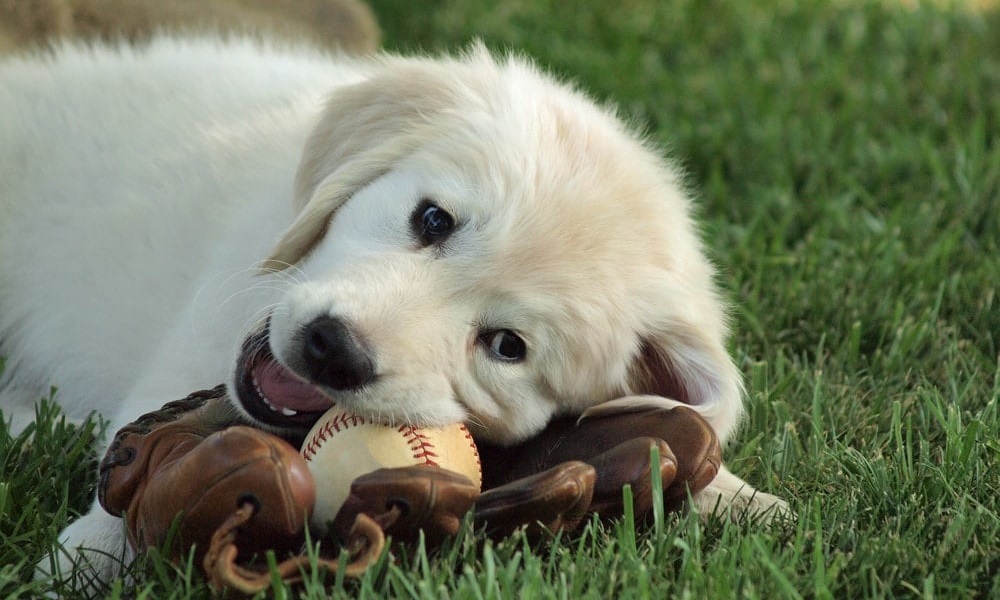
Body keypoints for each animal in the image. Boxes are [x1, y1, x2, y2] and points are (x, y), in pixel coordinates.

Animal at [0, 38, 784, 584]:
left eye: (507, 346)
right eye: (432, 219)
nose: (332, 349)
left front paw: (745, 499)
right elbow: (135, 455)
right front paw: (82, 563)